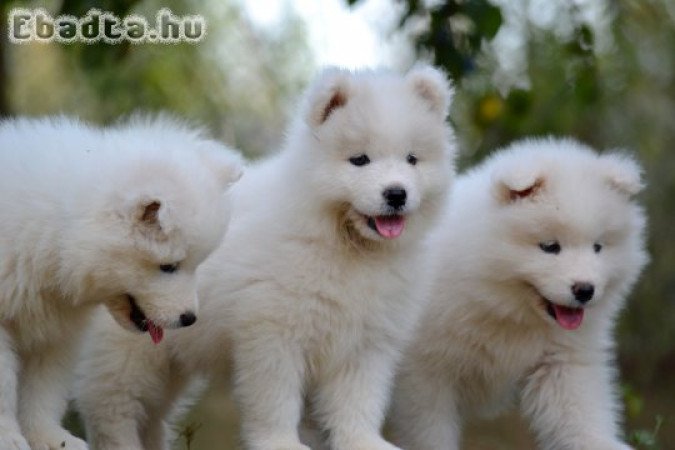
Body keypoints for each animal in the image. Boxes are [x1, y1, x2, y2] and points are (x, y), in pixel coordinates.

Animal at [0, 115, 243, 450]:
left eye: (197, 264)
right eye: (169, 267)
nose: (190, 319)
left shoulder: (57, 330)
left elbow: (43, 387)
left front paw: (51, 438)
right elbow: (5, 383)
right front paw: (8, 437)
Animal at [75, 65, 460, 450]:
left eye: (412, 159)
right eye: (360, 160)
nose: (396, 193)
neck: (346, 246)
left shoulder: (368, 340)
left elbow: (358, 400)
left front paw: (365, 442)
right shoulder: (273, 330)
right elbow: (276, 398)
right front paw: (281, 442)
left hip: (170, 356)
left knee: (151, 414)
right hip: (130, 346)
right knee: (113, 404)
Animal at [390, 138, 648, 450]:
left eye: (598, 247)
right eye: (550, 247)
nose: (585, 290)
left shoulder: (562, 361)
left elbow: (581, 419)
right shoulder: (425, 373)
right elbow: (430, 434)